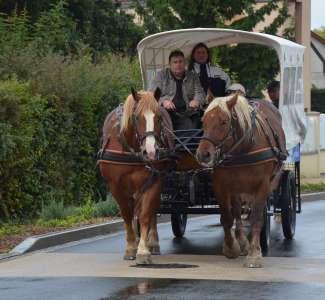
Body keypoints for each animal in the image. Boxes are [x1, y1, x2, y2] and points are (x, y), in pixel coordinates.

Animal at [97, 88, 172, 264]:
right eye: (137, 117)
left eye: (159, 117)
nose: (150, 152)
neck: (132, 148)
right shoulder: (115, 186)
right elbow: (126, 214)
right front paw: (131, 247)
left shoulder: (154, 181)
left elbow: (145, 214)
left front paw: (143, 250)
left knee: (151, 211)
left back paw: (152, 243)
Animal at [196, 94, 284, 268]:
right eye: (203, 121)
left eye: (224, 121)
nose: (203, 154)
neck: (244, 148)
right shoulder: (221, 185)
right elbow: (227, 217)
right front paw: (231, 248)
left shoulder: (262, 185)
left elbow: (256, 218)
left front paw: (254, 254)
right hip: (236, 186)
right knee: (236, 211)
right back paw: (242, 241)